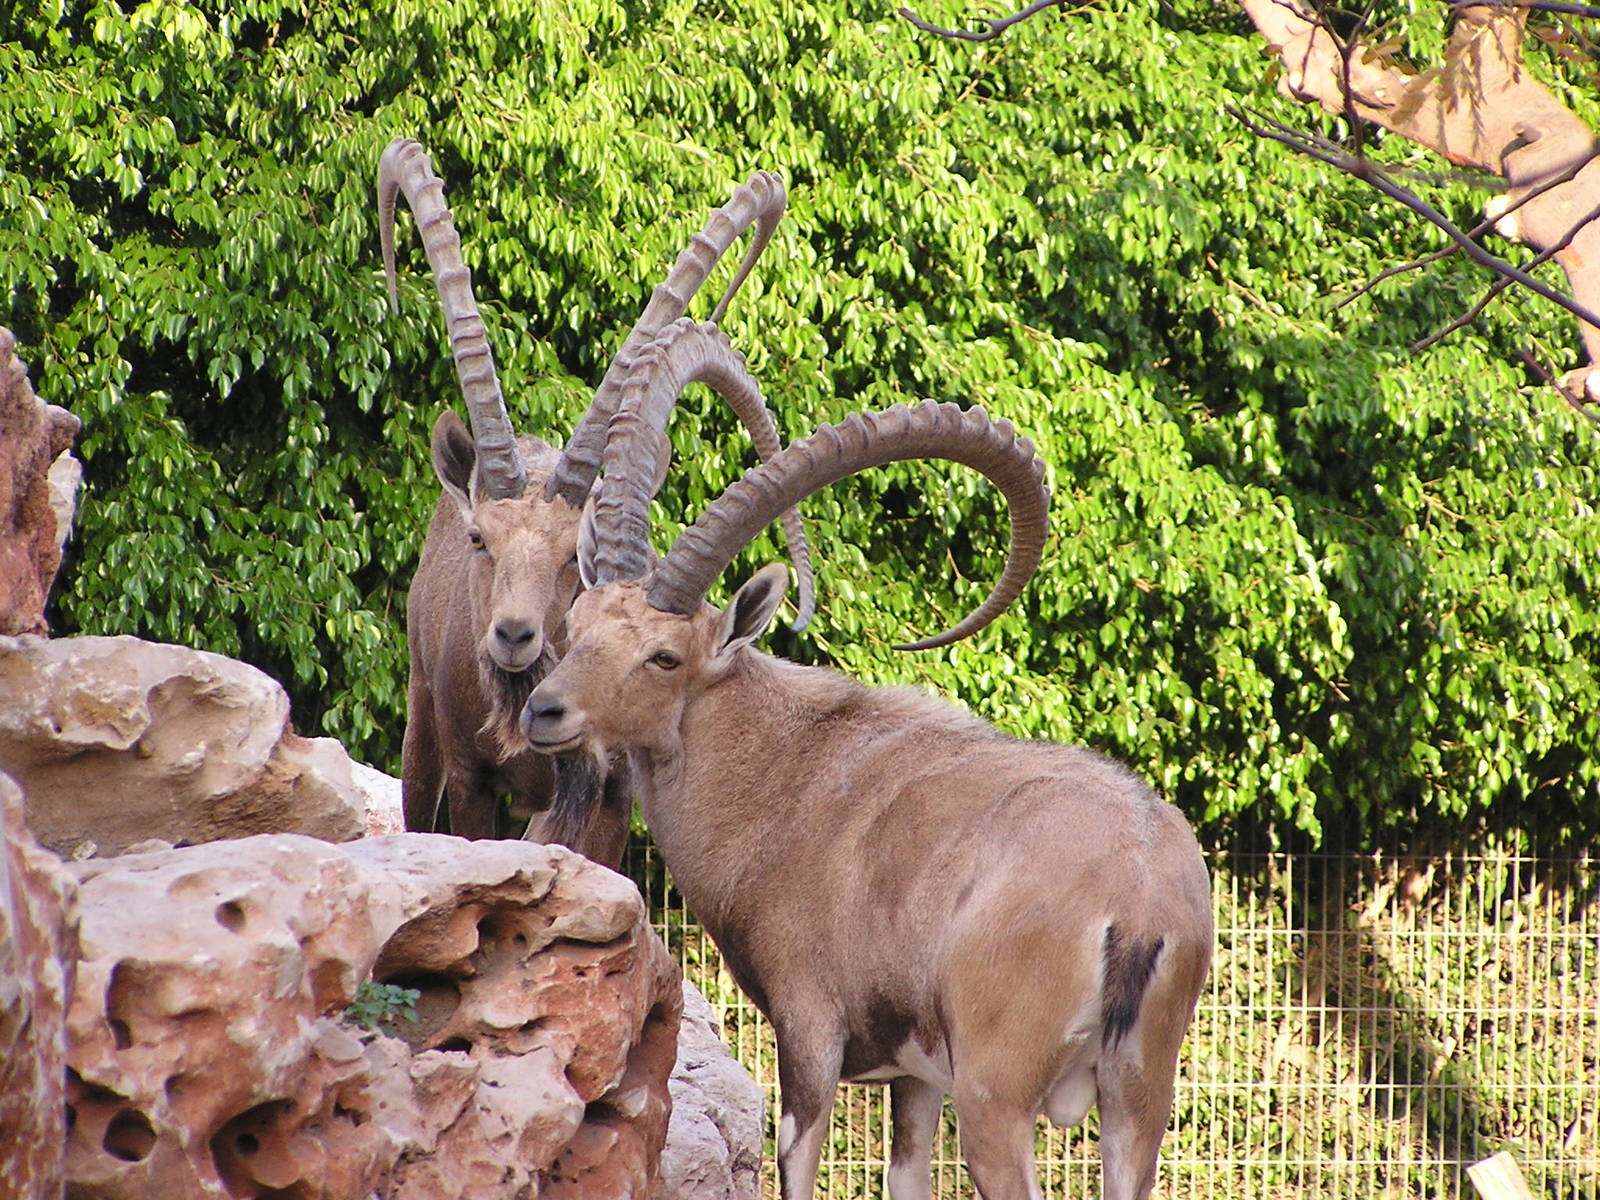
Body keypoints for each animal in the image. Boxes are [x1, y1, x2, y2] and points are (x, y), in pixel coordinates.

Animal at [378, 138, 812, 861]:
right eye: (480, 539)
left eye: (571, 559)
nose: (513, 635)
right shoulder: (471, 778)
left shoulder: (610, 791)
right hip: (420, 726)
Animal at [518, 343, 1214, 1200]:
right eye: (580, 622)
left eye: (665, 656)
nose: (544, 711)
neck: (784, 776)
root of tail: (1141, 899)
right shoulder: (914, 1076)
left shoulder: (809, 1030)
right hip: (1139, 1098)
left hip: (997, 1096)